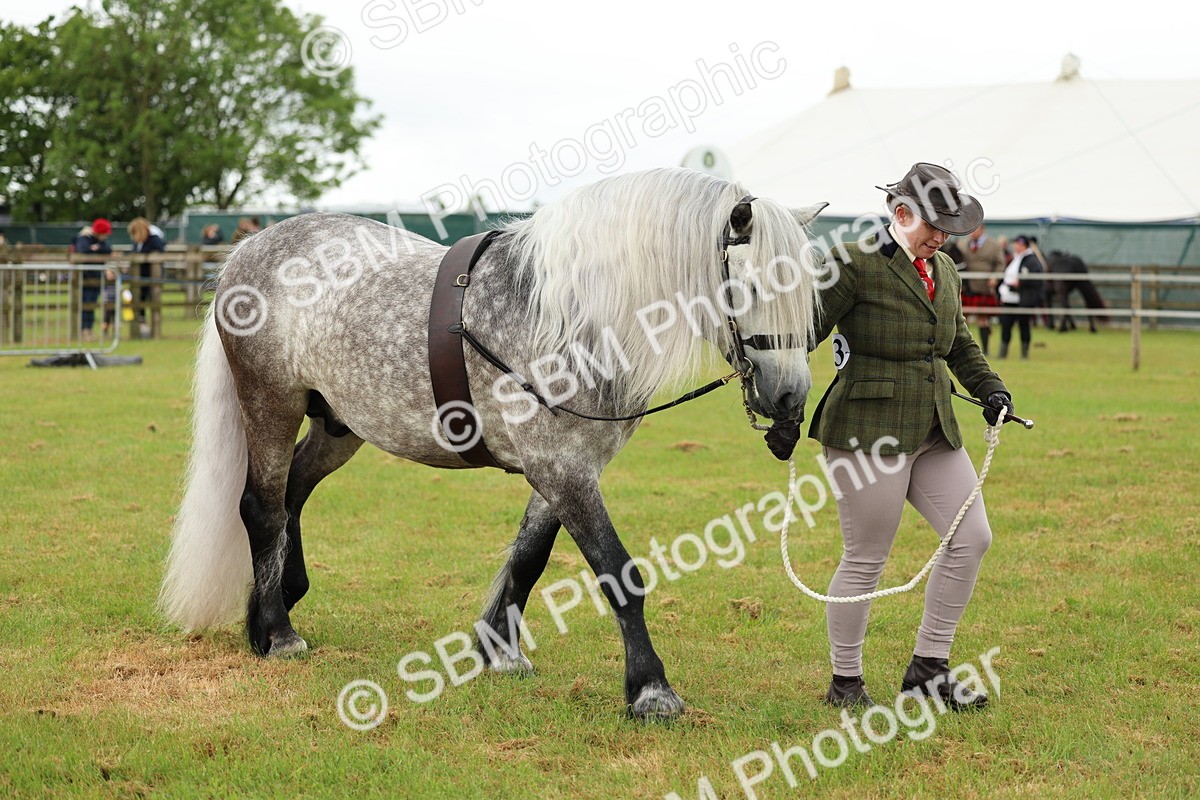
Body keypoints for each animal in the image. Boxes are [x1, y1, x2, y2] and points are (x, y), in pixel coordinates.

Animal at [159, 167, 825, 721]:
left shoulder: (566, 471)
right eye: (750, 287)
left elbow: (528, 558)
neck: (568, 314)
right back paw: (278, 632)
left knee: (292, 493)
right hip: (271, 402)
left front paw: (499, 651)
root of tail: (248, 248)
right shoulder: (561, 469)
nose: (790, 398)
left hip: (338, 424)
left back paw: (271, 608)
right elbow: (618, 572)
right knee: (262, 507)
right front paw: (650, 690)